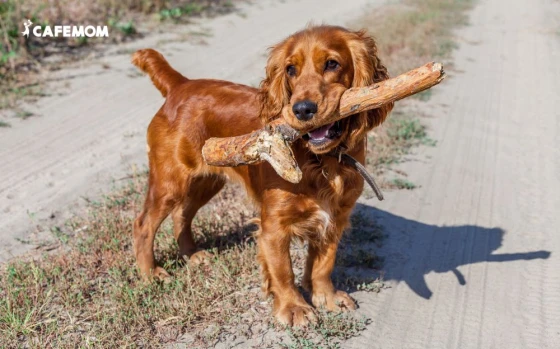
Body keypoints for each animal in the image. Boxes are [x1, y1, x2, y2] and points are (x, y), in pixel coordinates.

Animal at [132, 25, 394, 326]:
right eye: (290, 69)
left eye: (332, 64)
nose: (302, 109)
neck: (322, 161)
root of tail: (180, 85)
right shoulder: (274, 225)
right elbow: (283, 270)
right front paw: (294, 307)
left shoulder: (336, 217)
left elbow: (323, 264)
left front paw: (326, 296)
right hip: (170, 181)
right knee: (143, 224)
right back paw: (150, 274)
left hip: (207, 181)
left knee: (182, 214)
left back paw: (192, 254)